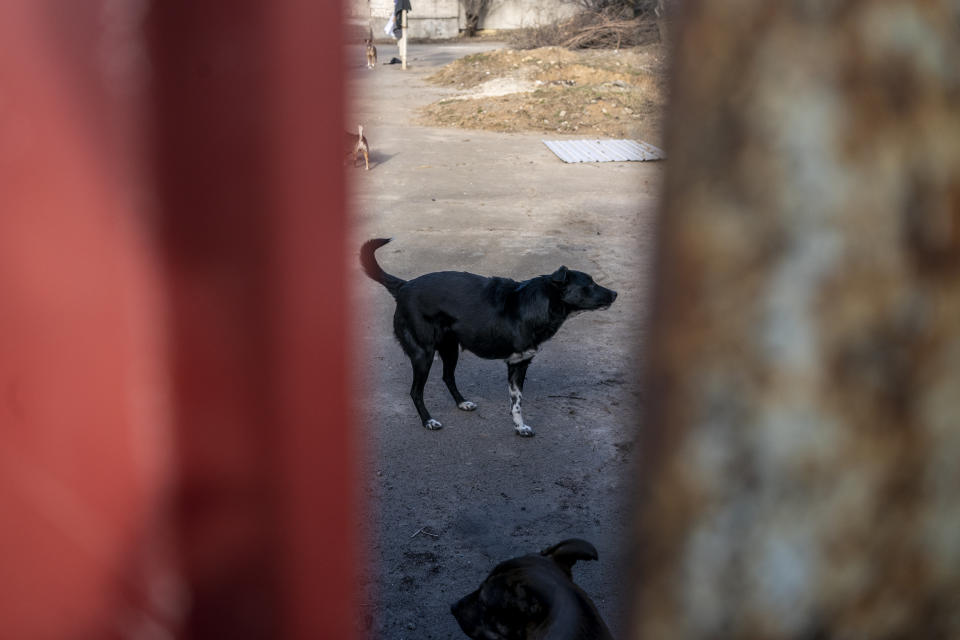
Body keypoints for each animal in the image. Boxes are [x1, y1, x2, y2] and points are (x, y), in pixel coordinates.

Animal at [358, 238, 616, 438]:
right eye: (590, 284)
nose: (615, 293)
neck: (535, 304)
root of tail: (404, 286)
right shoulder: (516, 362)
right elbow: (517, 400)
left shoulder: (520, 363)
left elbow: (516, 402)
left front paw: (520, 427)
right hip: (424, 353)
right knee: (415, 391)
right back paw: (428, 421)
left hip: (450, 348)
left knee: (447, 377)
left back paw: (461, 402)